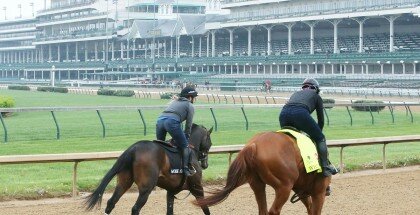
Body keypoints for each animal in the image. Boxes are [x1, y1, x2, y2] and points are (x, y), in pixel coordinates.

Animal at [84, 123, 213, 215]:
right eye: (210, 143)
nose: (205, 164)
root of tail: (133, 148)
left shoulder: (171, 191)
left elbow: (170, 211)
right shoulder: (197, 188)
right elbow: (206, 208)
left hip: (123, 183)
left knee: (111, 202)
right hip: (146, 188)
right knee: (135, 208)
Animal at [197, 131, 332, 215]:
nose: (328, 190)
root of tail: (253, 145)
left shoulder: (302, 190)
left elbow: (309, 206)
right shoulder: (318, 192)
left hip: (257, 185)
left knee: (263, 210)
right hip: (284, 187)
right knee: (273, 211)